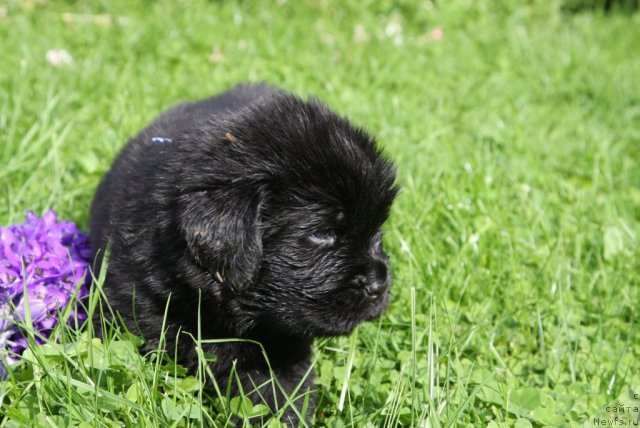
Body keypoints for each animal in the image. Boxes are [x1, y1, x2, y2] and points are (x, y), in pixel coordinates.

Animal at [89, 84, 400, 424]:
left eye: (377, 232)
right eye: (322, 234)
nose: (379, 285)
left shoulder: (279, 345)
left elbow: (279, 394)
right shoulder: (131, 306)